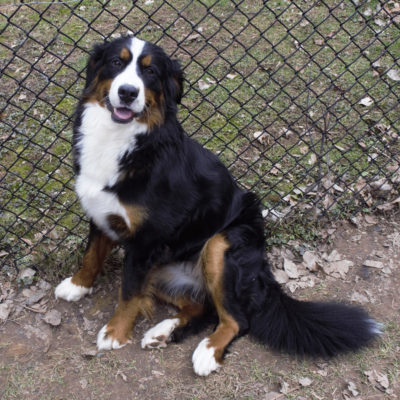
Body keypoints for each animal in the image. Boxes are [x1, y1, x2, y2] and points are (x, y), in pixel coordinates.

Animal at [54, 34, 382, 376]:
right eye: (116, 62)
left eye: (151, 72)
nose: (128, 93)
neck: (123, 141)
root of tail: (263, 268)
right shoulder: (101, 214)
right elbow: (91, 256)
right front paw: (77, 286)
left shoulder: (146, 241)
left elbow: (128, 292)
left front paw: (115, 333)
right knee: (203, 308)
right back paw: (163, 331)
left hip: (221, 244)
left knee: (236, 320)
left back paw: (207, 352)